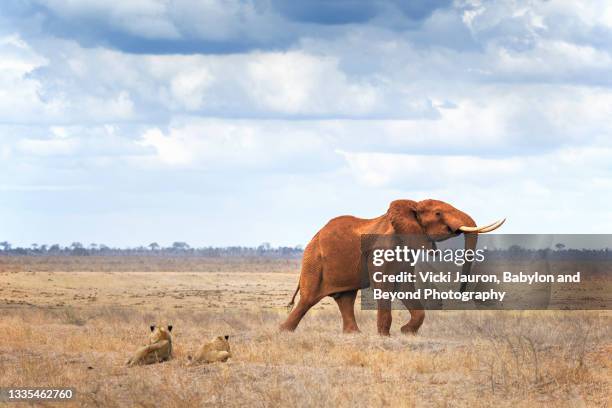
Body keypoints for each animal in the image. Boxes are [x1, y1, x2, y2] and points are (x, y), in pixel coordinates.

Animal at [280, 199, 504, 336]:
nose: (460, 292)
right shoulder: (382, 249)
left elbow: (405, 287)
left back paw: (354, 334)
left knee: (345, 298)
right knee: (308, 299)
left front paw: (405, 332)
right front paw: (384, 336)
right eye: (438, 213)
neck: (411, 206)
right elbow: (385, 286)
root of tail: (315, 235)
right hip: (313, 260)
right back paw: (283, 331)